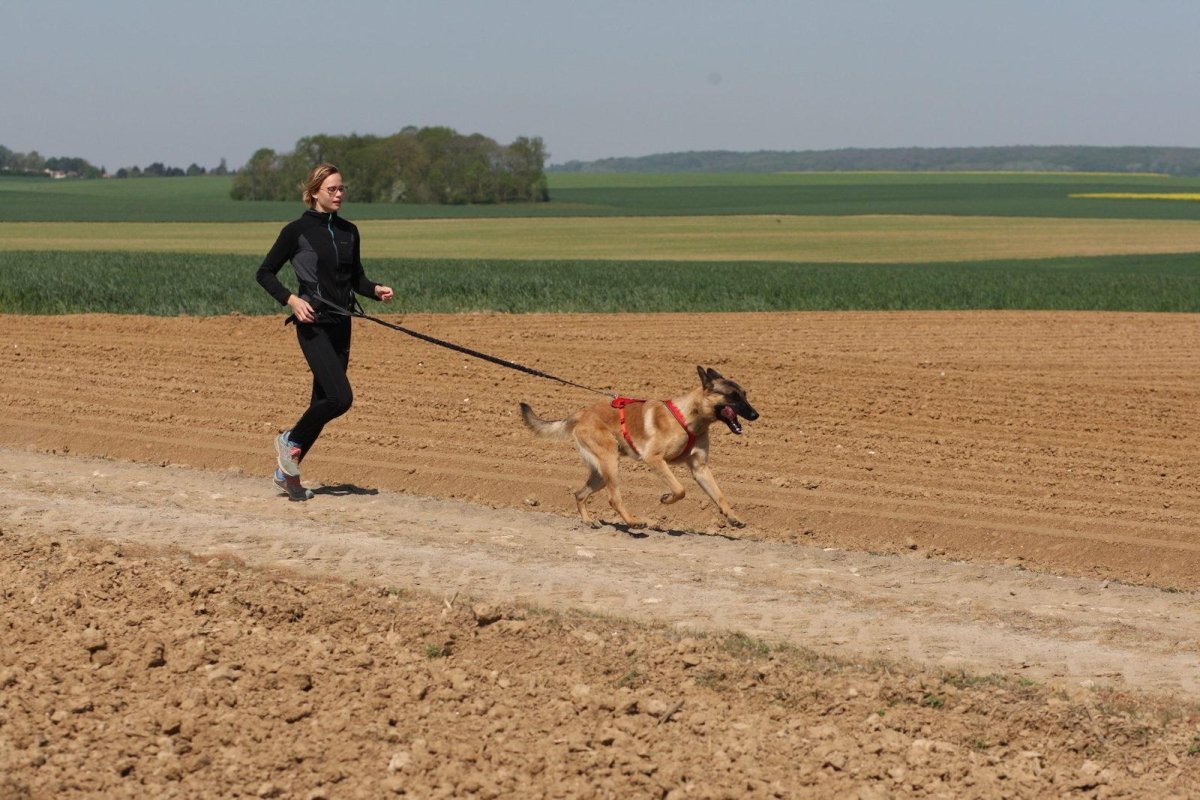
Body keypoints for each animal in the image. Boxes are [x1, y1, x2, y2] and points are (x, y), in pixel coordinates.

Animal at [518, 369, 758, 532]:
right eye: (733, 396)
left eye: (745, 394)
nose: (756, 415)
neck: (689, 418)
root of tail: (581, 413)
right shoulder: (654, 459)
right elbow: (680, 489)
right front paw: (666, 499)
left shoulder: (700, 468)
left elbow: (719, 495)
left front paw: (732, 517)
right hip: (611, 463)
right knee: (614, 499)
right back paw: (633, 522)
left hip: (601, 473)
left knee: (580, 494)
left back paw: (588, 521)